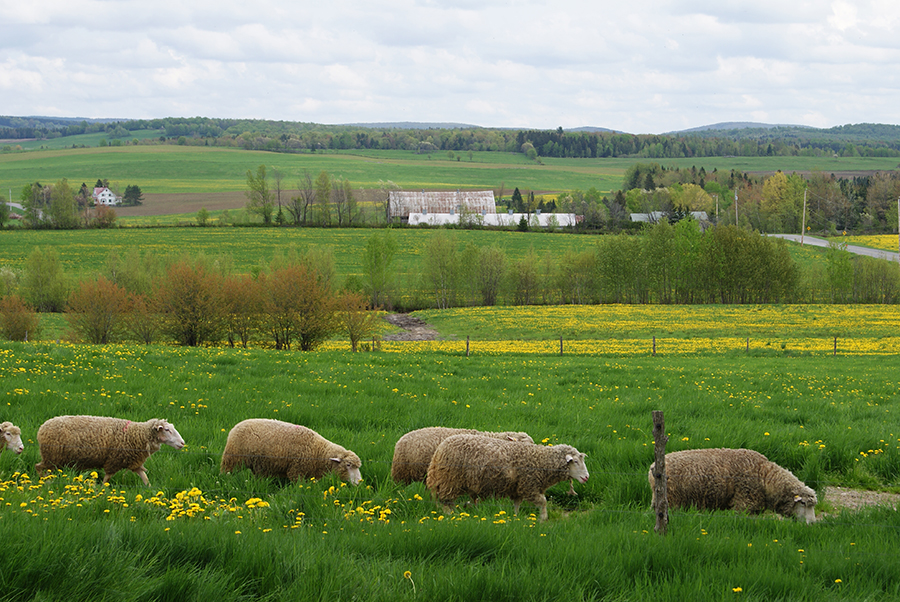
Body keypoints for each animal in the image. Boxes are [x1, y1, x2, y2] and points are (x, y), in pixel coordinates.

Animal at [33, 414, 185, 486]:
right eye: (167, 430)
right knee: (38, 467)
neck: (138, 435)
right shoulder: (114, 461)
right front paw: (101, 491)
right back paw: (44, 483)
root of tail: (42, 428)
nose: (183, 443)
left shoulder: (134, 463)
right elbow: (106, 479)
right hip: (51, 457)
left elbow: (145, 478)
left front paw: (151, 491)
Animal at [220, 418, 360, 482]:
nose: (359, 482)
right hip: (232, 458)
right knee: (226, 471)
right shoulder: (296, 470)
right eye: (348, 465)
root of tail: (237, 425)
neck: (318, 451)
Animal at [424, 432, 588, 520]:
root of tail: (439, 450)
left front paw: (515, 518)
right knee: (446, 501)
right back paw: (450, 515)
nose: (586, 477)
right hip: (449, 481)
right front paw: (543, 519)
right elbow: (543, 502)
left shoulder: (518, 489)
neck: (541, 460)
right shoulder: (529, 486)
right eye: (575, 461)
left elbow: (516, 505)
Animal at [644, 446, 820, 520]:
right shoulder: (743, 504)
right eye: (802, 503)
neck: (766, 477)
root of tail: (653, 467)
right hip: (673, 500)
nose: (812, 524)